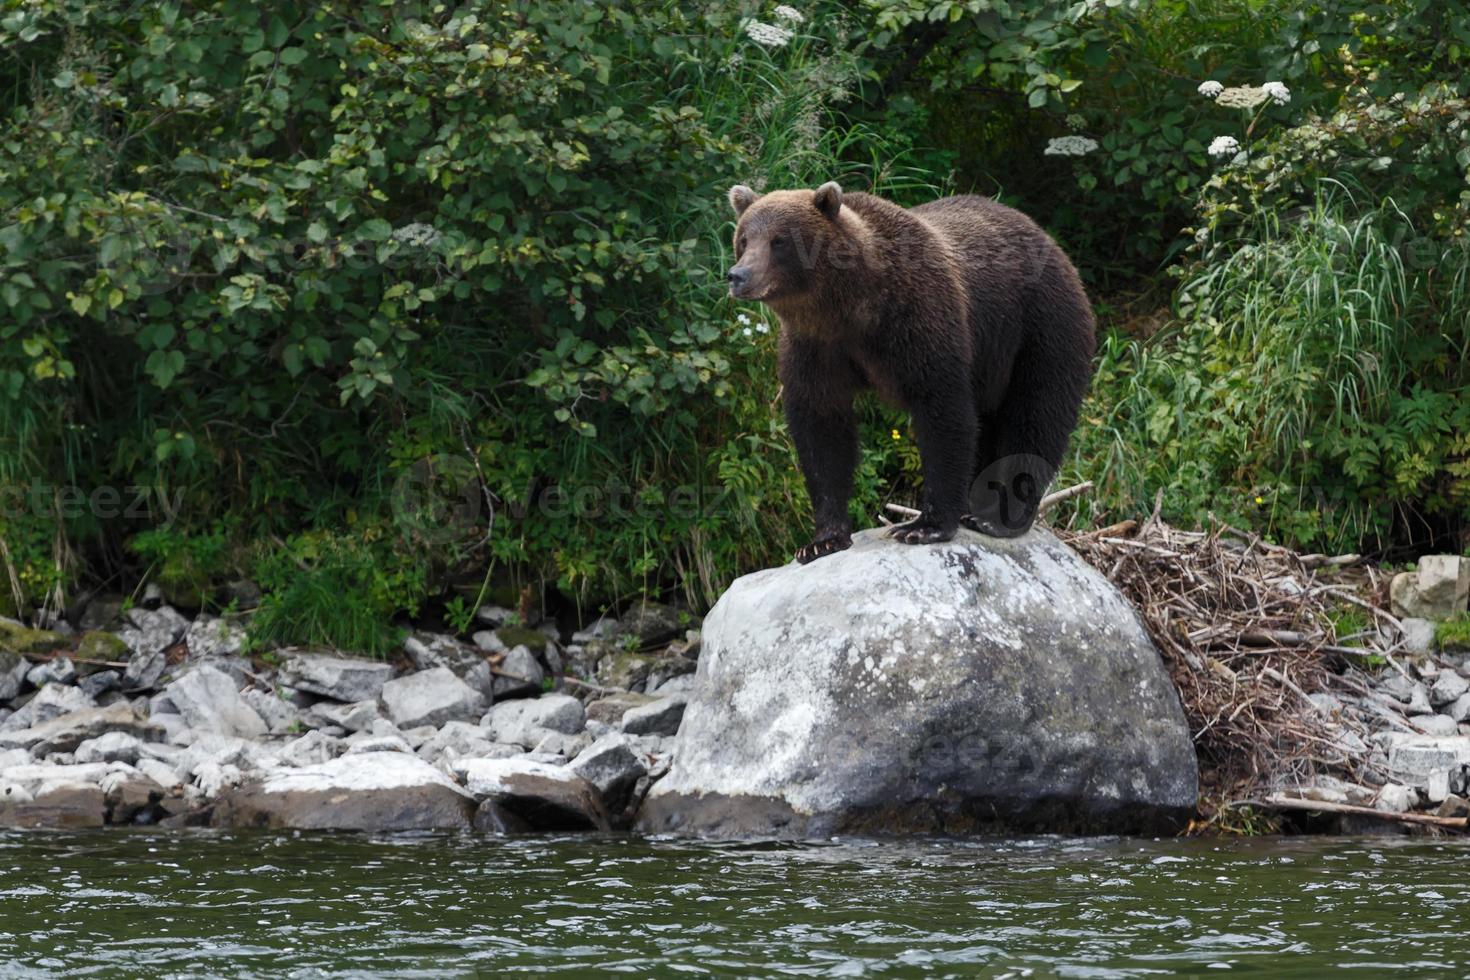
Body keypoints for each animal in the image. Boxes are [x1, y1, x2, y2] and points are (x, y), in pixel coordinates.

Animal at [729, 179, 1099, 564]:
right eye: (744, 239)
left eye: (779, 241)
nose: (738, 275)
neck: (848, 308)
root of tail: (1049, 240)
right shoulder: (815, 347)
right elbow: (821, 430)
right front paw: (823, 539)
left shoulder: (918, 319)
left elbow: (943, 411)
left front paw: (923, 525)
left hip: (1040, 328)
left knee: (1036, 414)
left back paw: (1000, 517)